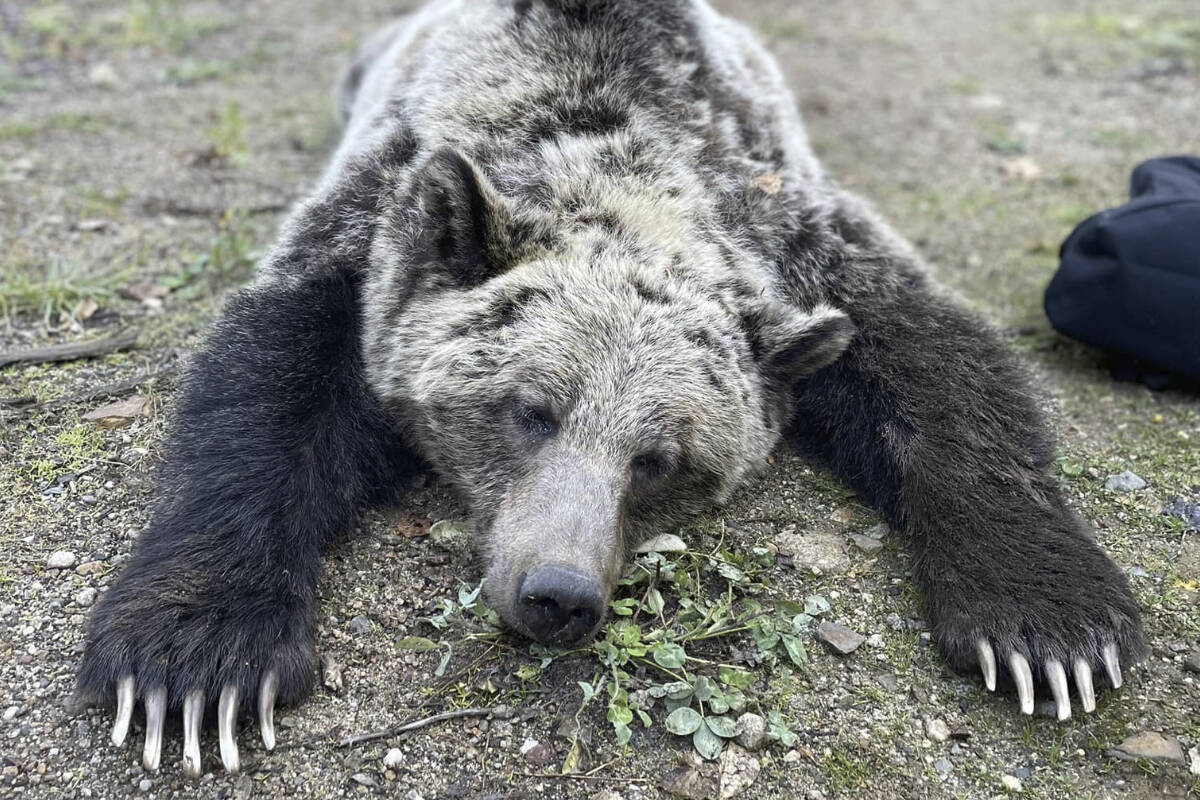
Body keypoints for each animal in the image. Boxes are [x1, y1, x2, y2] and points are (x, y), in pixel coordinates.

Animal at [72, 0, 1142, 777]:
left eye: (659, 459)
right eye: (530, 411)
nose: (559, 593)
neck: (618, 157)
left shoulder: (794, 232)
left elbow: (943, 371)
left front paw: (1047, 631)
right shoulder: (376, 224)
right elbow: (265, 391)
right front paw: (198, 664)